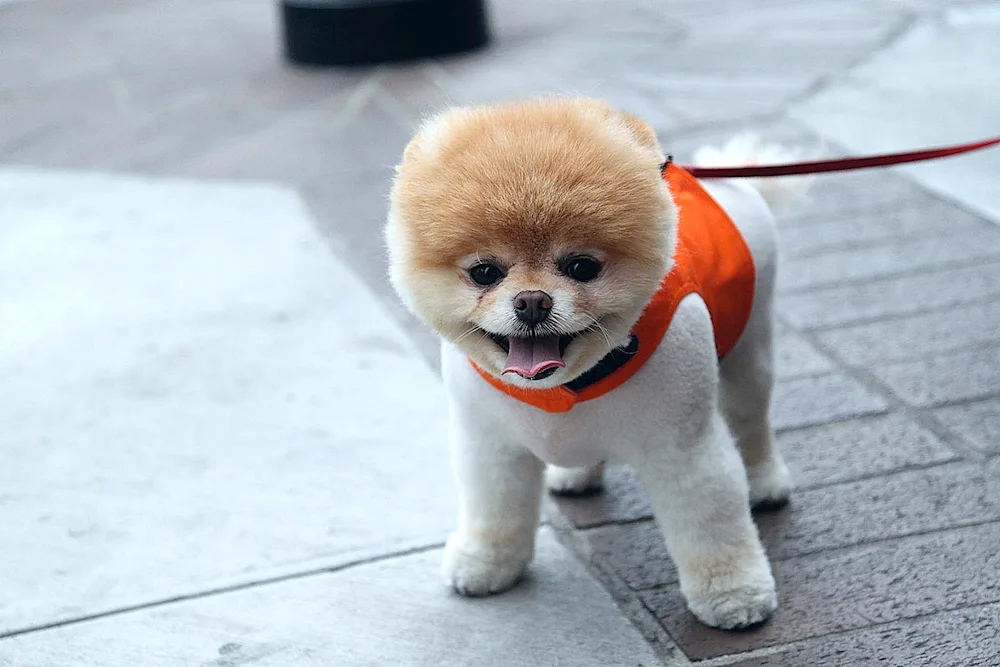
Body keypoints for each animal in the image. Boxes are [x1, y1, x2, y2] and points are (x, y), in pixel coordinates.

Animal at [380, 96, 804, 628]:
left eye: (582, 267)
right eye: (484, 273)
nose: (532, 301)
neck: (566, 387)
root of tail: (724, 177)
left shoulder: (683, 448)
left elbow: (712, 520)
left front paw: (735, 593)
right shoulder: (491, 444)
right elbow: (494, 509)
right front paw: (486, 563)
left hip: (750, 350)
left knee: (751, 421)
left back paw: (766, 483)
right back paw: (576, 475)